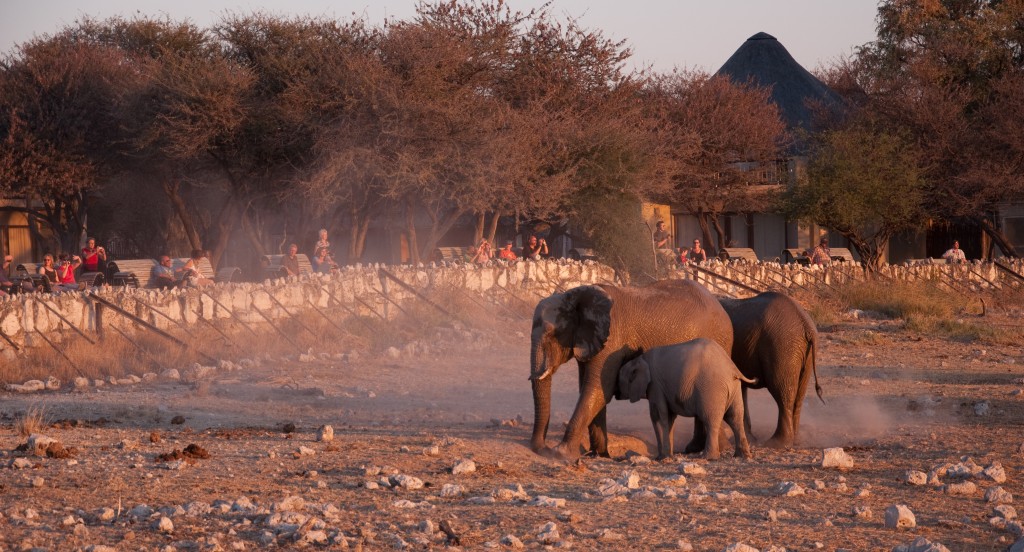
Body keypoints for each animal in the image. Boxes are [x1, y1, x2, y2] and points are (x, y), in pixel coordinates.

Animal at [528, 280, 737, 462]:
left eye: (552, 334)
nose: (543, 448)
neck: (574, 295)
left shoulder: (611, 341)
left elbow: (598, 389)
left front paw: (560, 454)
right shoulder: (589, 342)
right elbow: (590, 390)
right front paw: (599, 455)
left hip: (720, 340)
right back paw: (700, 448)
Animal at [610, 337, 757, 462]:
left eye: (618, 379)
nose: (615, 393)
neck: (640, 359)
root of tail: (732, 368)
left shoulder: (655, 386)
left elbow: (659, 416)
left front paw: (663, 458)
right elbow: (669, 418)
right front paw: (666, 456)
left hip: (711, 388)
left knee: (710, 420)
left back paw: (708, 457)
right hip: (734, 387)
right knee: (735, 418)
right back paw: (742, 456)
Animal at [720, 292, 823, 448]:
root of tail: (807, 325)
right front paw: (748, 440)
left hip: (782, 347)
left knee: (782, 391)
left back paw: (777, 443)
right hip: (805, 353)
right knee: (798, 396)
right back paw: (795, 440)